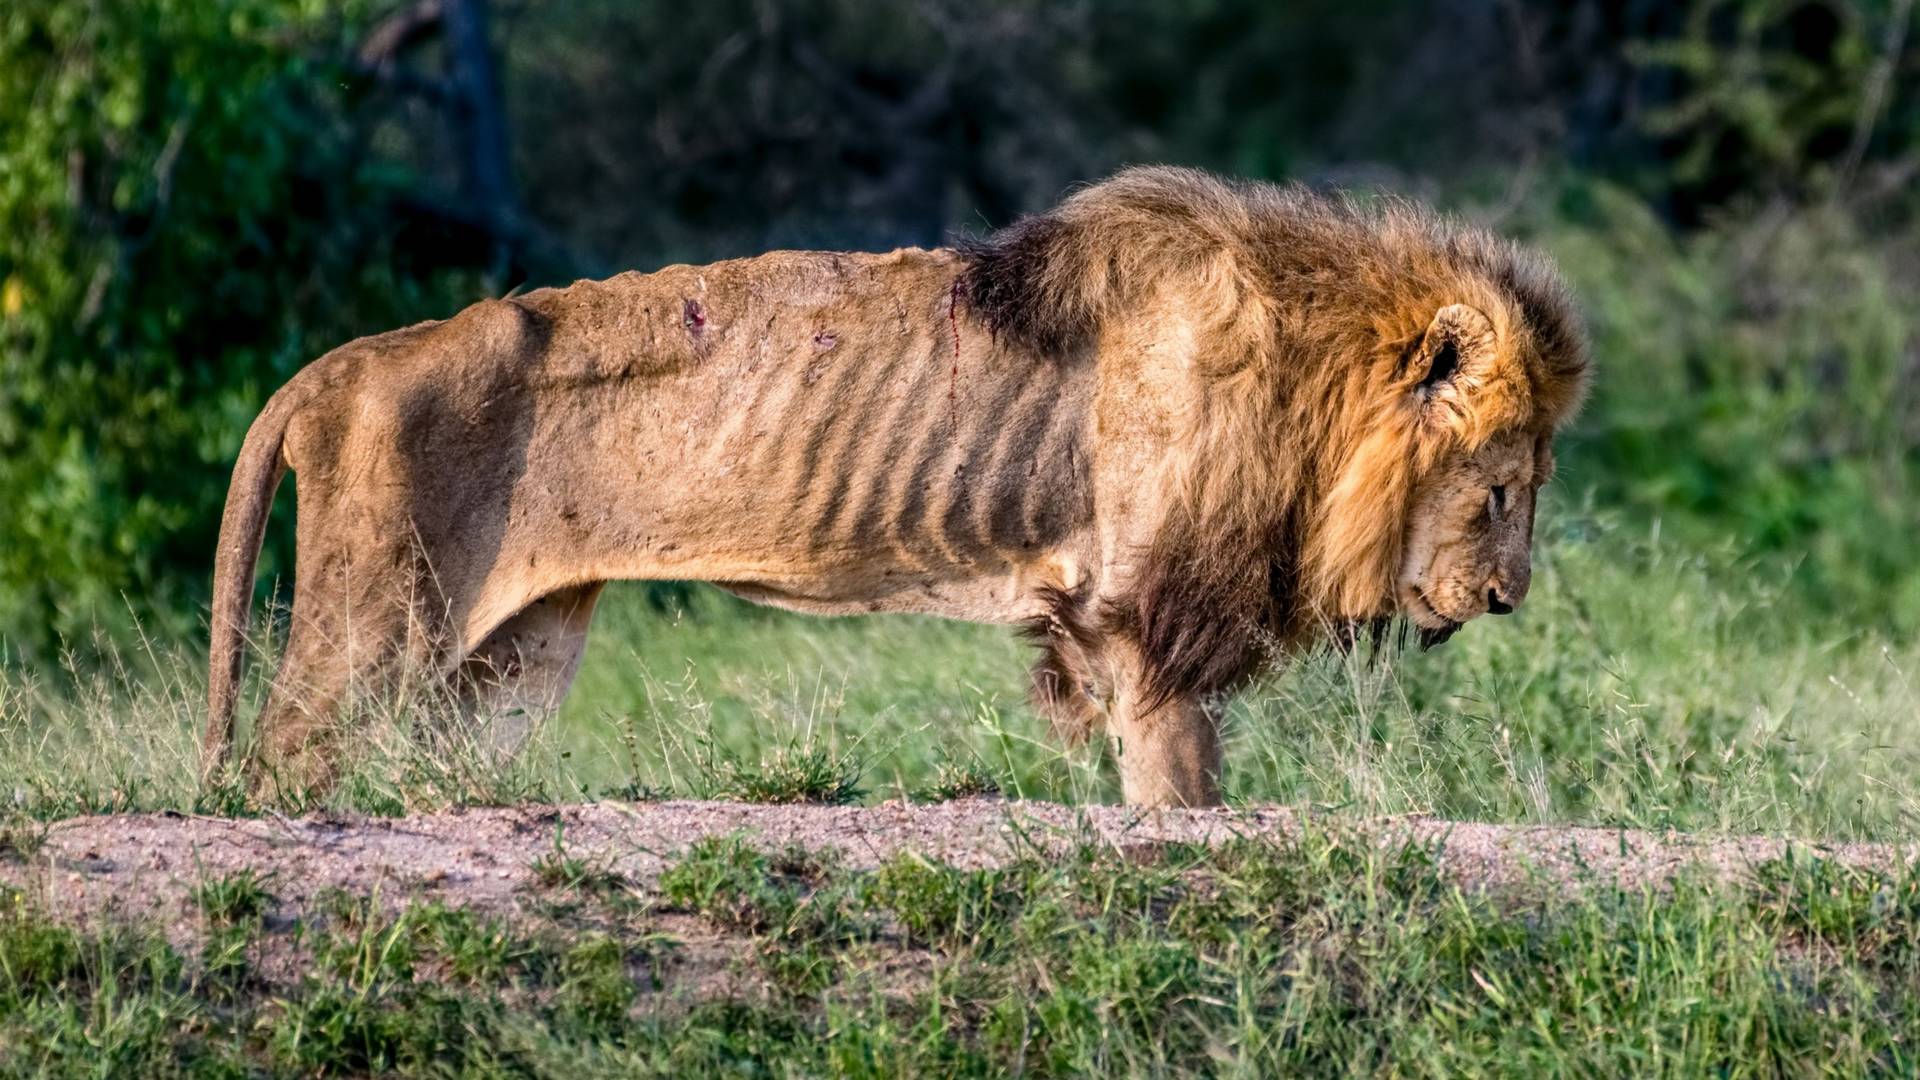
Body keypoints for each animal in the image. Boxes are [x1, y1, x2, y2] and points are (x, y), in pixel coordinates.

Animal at [206, 168, 1589, 803]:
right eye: (1500, 491)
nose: (1511, 599)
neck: (1310, 380)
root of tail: (338, 365)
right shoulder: (1148, 617)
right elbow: (1182, 788)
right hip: (375, 628)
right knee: (279, 765)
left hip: (505, 665)